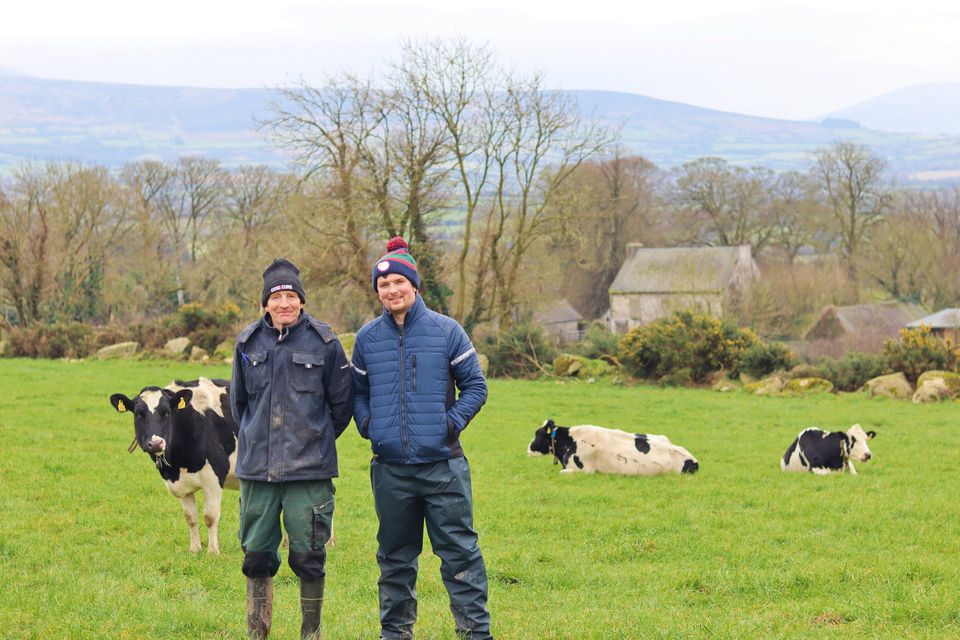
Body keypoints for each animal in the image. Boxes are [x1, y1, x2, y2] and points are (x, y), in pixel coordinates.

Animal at [107, 378, 236, 552]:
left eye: (167, 412)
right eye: (139, 414)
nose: (155, 443)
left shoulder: (215, 475)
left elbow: (210, 516)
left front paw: (213, 551)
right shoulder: (181, 484)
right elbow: (190, 517)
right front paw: (194, 550)